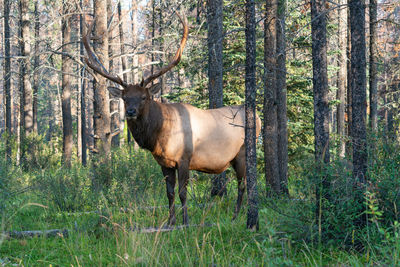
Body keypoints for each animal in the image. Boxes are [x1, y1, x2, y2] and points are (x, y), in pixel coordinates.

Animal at [83, 13, 260, 225]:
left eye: (144, 97)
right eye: (124, 98)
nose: (131, 112)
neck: (159, 137)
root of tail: (258, 117)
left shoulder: (184, 158)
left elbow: (183, 192)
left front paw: (185, 221)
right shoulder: (164, 163)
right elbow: (169, 193)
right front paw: (170, 222)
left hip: (242, 152)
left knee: (244, 184)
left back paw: (236, 216)